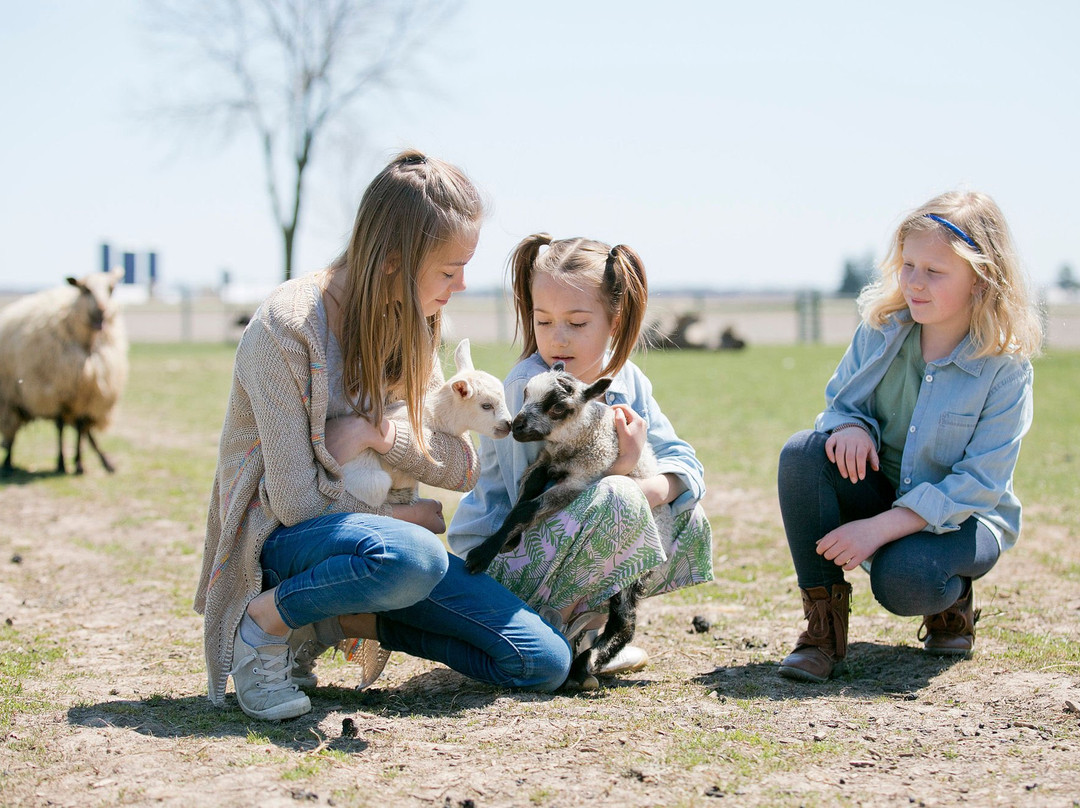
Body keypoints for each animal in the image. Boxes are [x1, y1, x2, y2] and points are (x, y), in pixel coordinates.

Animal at [0, 267, 128, 477]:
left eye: (111, 288)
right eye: (85, 289)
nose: (101, 311)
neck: (87, 345)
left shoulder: (88, 396)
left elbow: (81, 427)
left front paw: (79, 464)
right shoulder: (58, 394)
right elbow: (60, 427)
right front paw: (61, 463)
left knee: (84, 430)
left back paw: (105, 461)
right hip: (11, 398)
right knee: (12, 427)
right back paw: (8, 462)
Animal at [466, 365, 673, 687]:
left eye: (558, 408)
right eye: (525, 394)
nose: (517, 426)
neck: (572, 444)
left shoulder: (580, 480)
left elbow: (527, 508)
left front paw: (480, 555)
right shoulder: (543, 462)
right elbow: (524, 494)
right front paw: (508, 540)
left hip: (634, 568)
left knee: (624, 620)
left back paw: (586, 664)